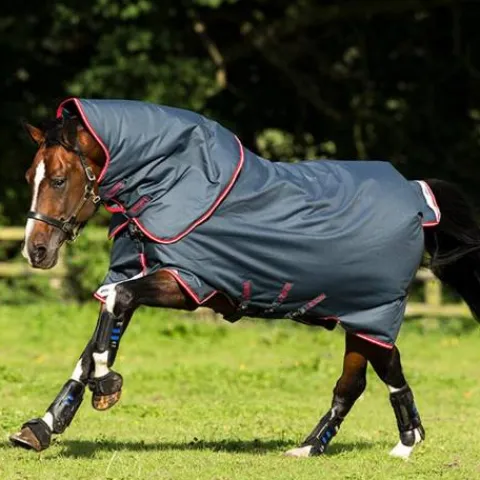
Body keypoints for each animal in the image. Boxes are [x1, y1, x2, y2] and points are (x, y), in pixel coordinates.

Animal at [9, 98, 480, 458]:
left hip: (372, 311)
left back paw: (405, 443)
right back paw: (312, 446)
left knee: (381, 369)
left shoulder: (187, 284)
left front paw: (107, 386)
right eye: (30, 177)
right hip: (358, 314)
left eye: (58, 179)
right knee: (358, 380)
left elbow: (116, 304)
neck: (175, 182)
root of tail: (418, 196)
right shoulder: (147, 275)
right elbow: (96, 339)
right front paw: (42, 427)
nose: (35, 251)